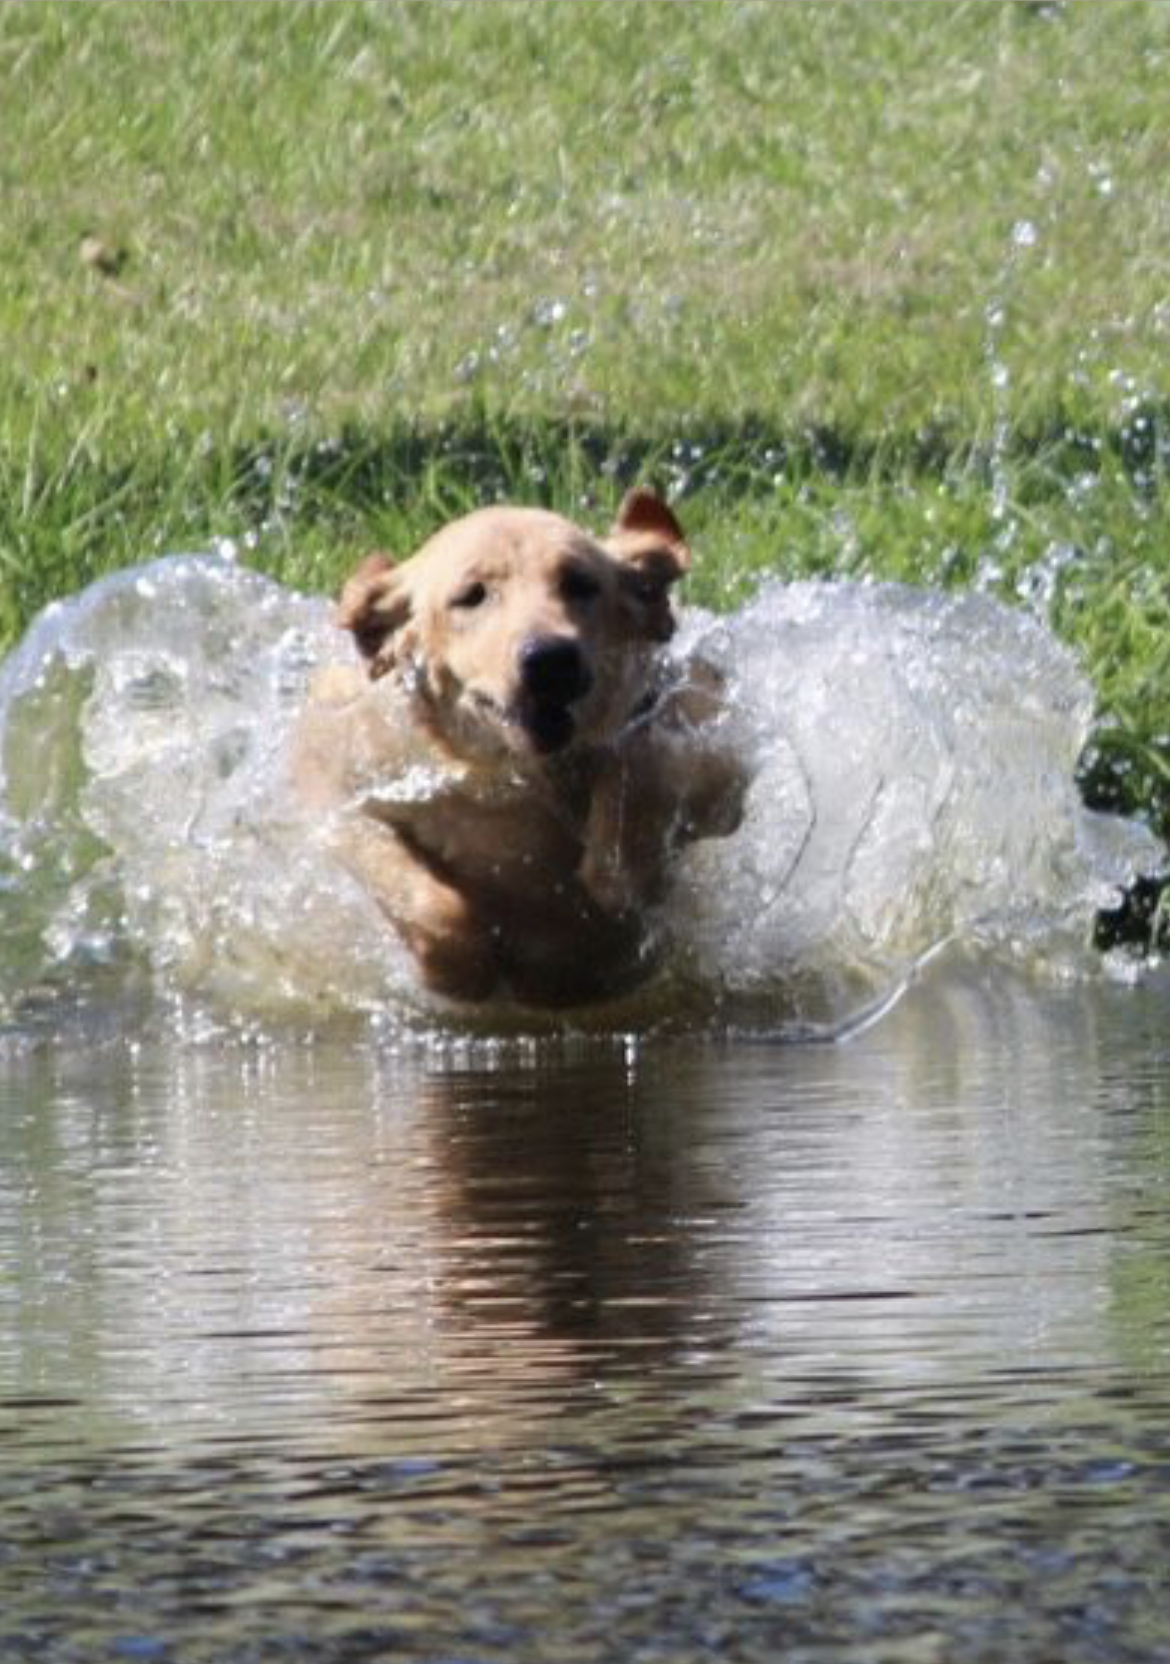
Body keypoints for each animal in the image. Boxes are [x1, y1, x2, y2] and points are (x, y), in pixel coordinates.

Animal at [294, 485, 752, 1005]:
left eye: (580, 583)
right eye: (471, 596)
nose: (551, 659)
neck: (519, 780)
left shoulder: (717, 747)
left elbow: (648, 768)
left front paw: (625, 865)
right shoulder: (333, 789)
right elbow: (418, 889)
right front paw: (457, 963)